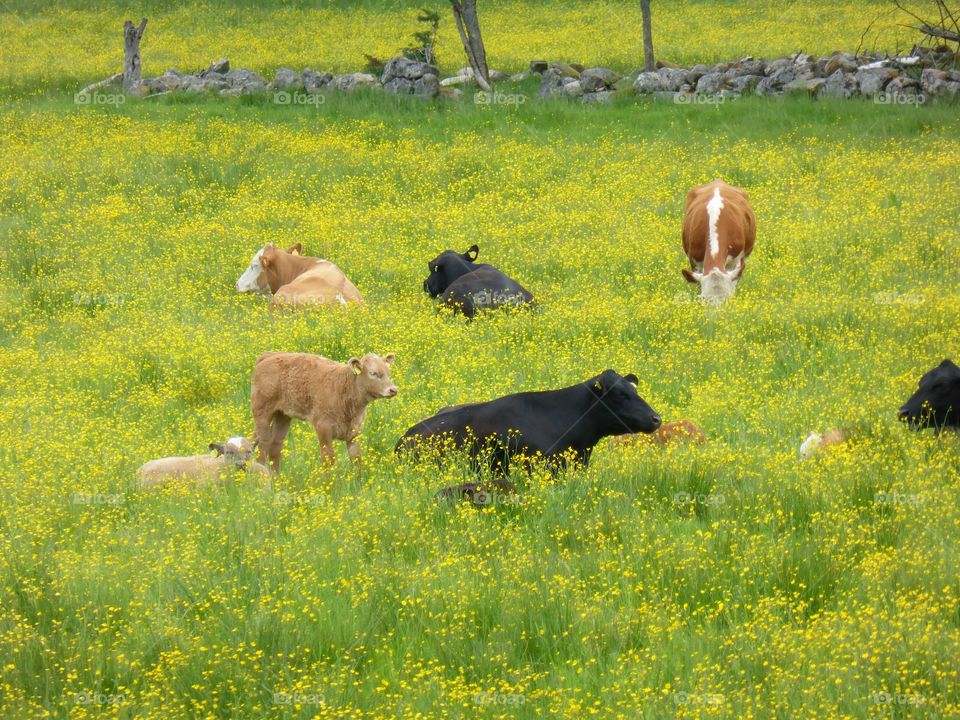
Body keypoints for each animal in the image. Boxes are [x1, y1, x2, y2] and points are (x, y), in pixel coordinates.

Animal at [251, 350, 398, 472]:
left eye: (388, 372)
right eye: (373, 373)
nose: (393, 390)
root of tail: (269, 355)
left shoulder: (354, 431)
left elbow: (356, 458)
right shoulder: (323, 428)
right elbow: (329, 459)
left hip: (283, 415)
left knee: (275, 445)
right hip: (262, 414)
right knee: (263, 446)